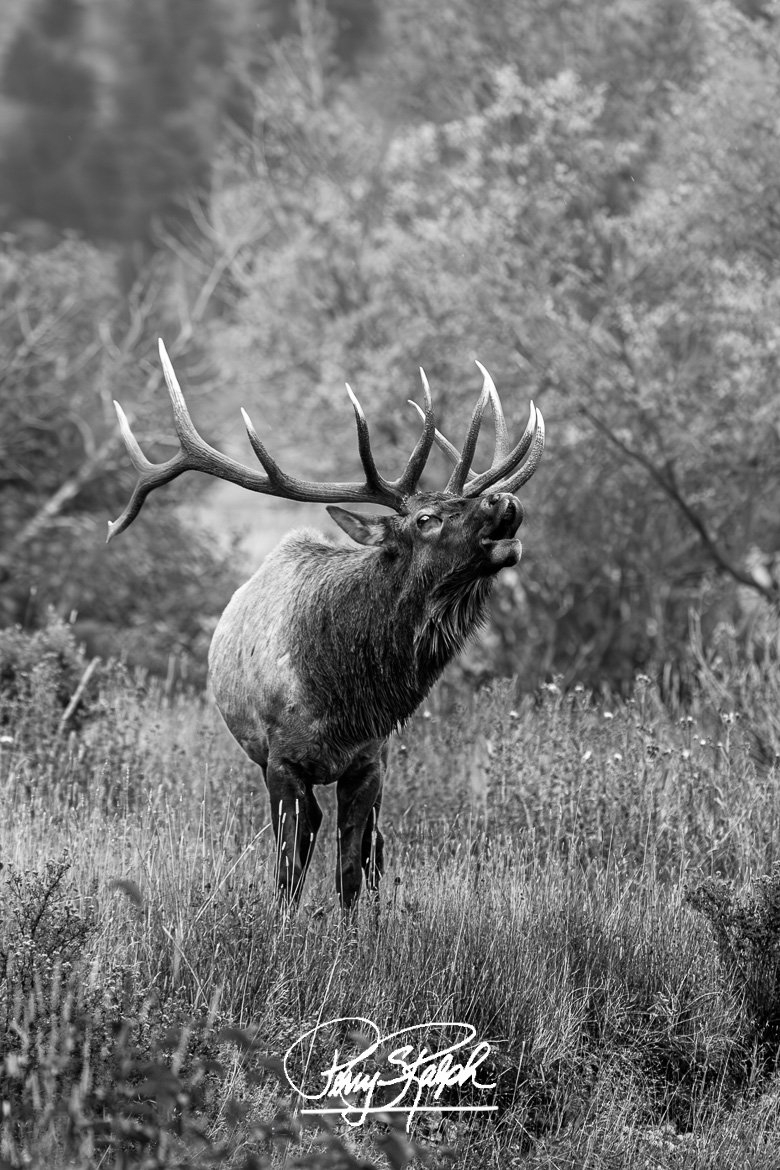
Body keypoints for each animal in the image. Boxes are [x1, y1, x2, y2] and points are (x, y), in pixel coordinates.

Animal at [108, 341, 544, 909]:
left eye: (465, 502)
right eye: (425, 519)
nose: (503, 500)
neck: (341, 699)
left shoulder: (369, 760)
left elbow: (351, 871)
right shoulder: (280, 761)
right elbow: (287, 868)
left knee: (374, 846)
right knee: (307, 832)